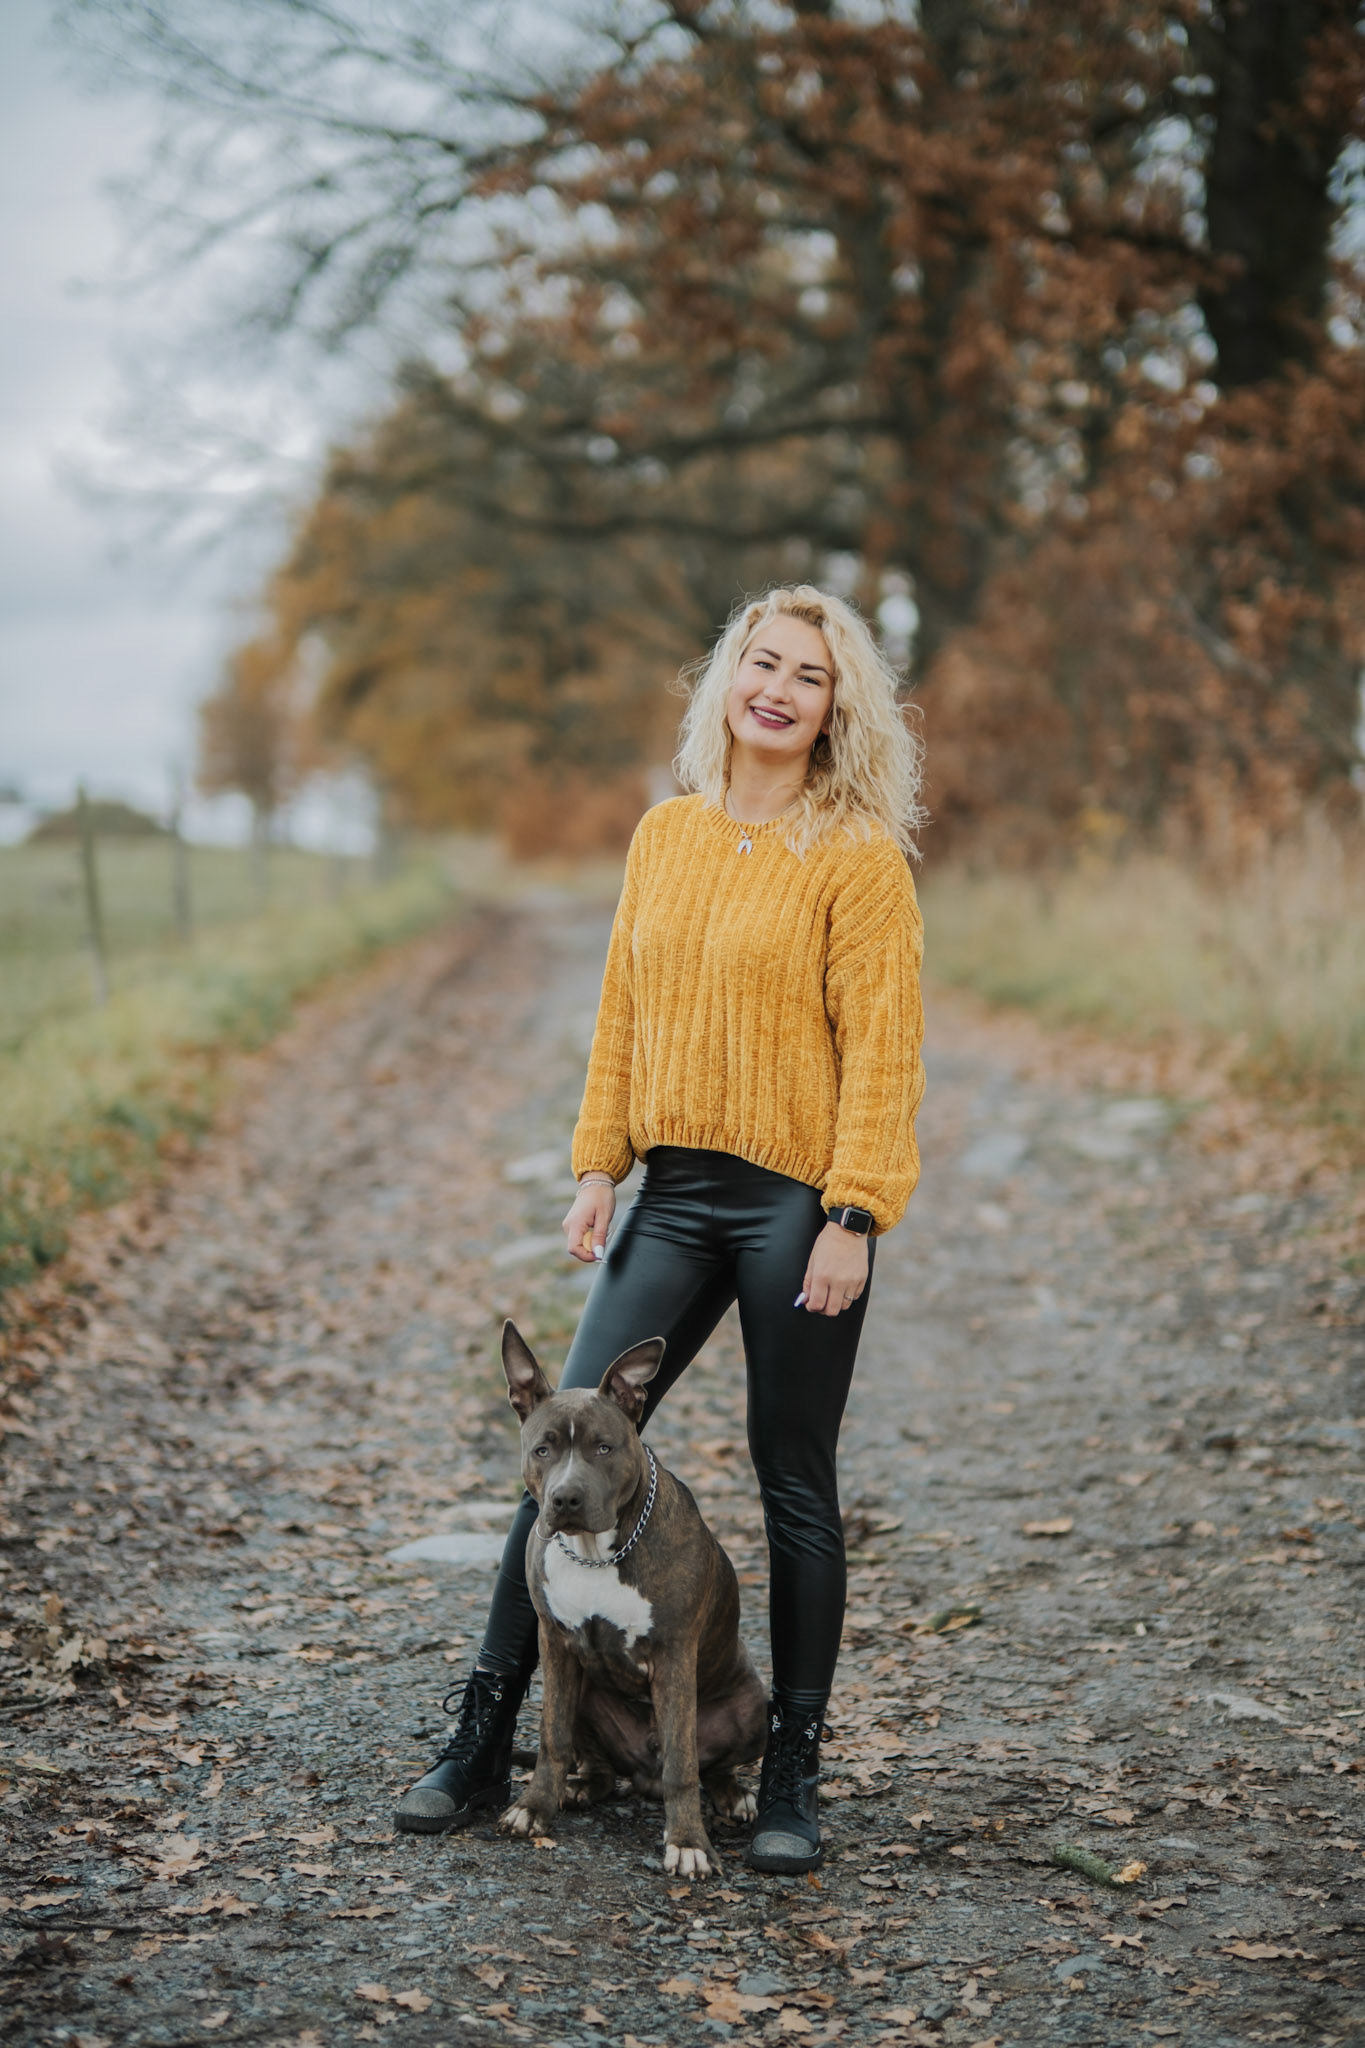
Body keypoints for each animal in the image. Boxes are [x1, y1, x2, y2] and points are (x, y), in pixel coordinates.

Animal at [497, 1321, 766, 1877]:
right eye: (542, 1450)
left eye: (603, 1448)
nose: (565, 1498)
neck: (594, 1552)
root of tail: (643, 1774)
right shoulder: (555, 1645)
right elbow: (552, 1739)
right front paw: (534, 1807)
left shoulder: (674, 1655)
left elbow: (684, 1762)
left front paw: (687, 1843)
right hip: (583, 1691)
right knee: (596, 1765)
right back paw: (579, 1787)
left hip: (753, 1704)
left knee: (712, 1769)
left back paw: (733, 1797)